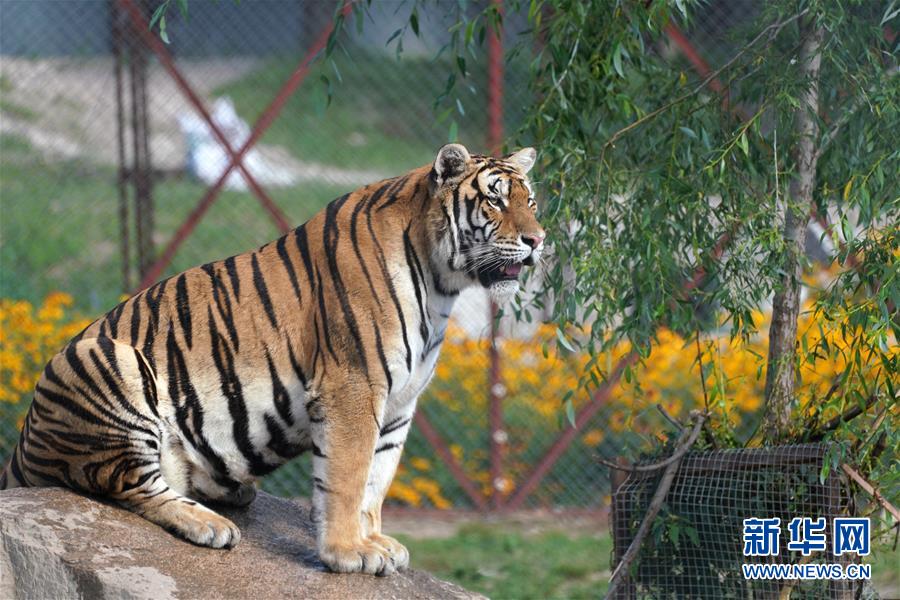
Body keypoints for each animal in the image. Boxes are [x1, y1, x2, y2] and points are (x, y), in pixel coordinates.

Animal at [0, 144, 544, 576]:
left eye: (531, 202)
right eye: (495, 199)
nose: (538, 241)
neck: (441, 285)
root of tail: (21, 447)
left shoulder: (398, 404)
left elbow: (377, 478)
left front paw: (374, 541)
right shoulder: (354, 385)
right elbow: (348, 476)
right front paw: (348, 553)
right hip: (106, 359)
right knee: (129, 484)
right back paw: (210, 525)